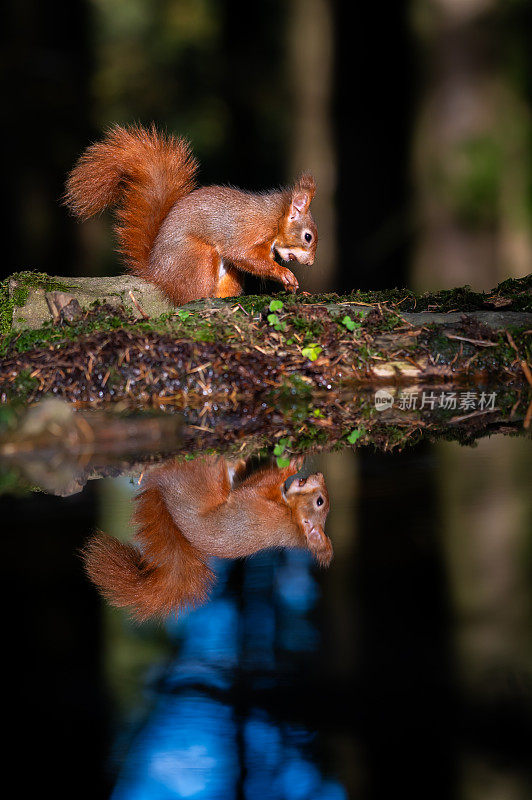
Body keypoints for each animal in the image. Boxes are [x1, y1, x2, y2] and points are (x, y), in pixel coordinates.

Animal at [64, 123, 318, 304]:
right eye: (308, 237)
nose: (310, 264)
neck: (274, 217)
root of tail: (157, 274)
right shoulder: (249, 230)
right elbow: (243, 254)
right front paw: (284, 274)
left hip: (229, 277)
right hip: (198, 258)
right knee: (191, 295)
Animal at [83, 456, 330, 620]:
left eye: (319, 501)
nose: (319, 474)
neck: (292, 520)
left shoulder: (262, 504)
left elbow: (256, 484)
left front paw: (290, 464)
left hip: (199, 480)